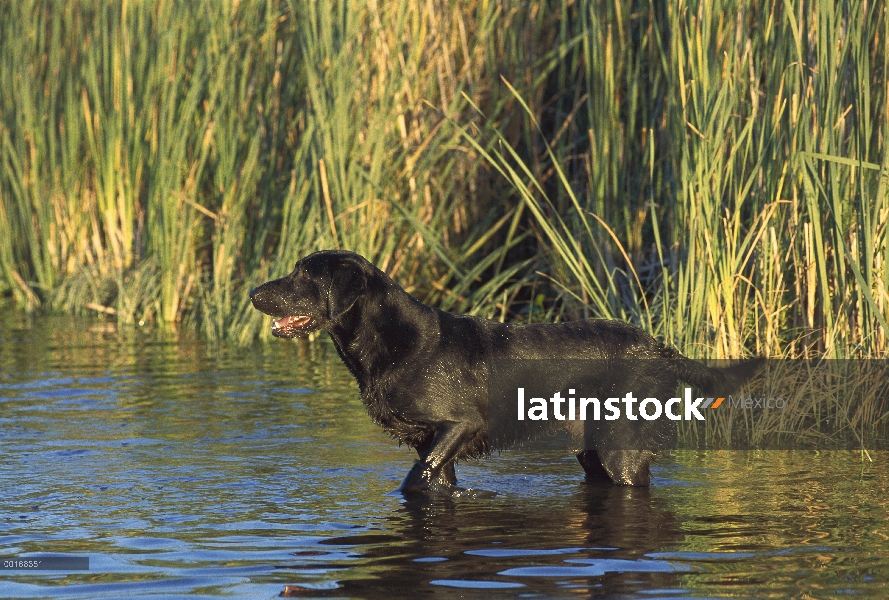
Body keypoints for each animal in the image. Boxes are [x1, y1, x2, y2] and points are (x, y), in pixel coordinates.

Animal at [248, 250, 756, 492]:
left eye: (304, 276)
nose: (253, 292)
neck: (393, 342)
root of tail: (660, 347)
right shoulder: (431, 443)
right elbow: (432, 478)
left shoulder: (458, 425)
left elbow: (413, 482)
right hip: (589, 446)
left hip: (621, 448)